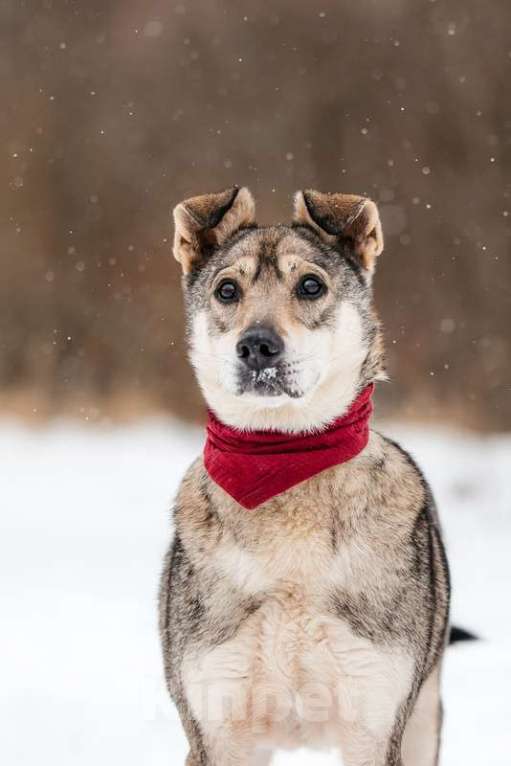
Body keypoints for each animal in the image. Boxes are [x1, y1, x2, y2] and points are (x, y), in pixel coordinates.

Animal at [160, 188, 452, 766]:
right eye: (228, 290)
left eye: (311, 285)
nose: (257, 346)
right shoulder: (218, 724)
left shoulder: (374, 718)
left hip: (423, 720)